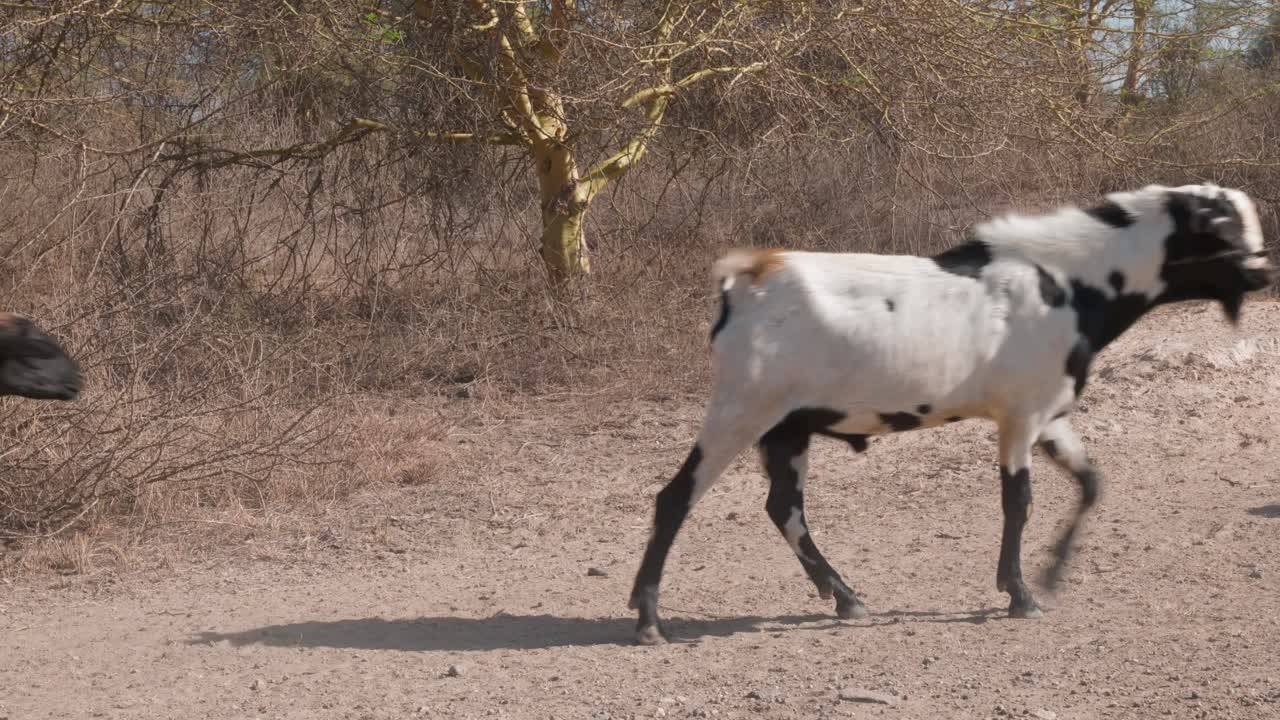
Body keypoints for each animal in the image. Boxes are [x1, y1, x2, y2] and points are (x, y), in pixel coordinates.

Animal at [626, 183, 1274, 645]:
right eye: (1222, 226)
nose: (1265, 270)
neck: (1068, 283)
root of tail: (753, 275)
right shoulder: (1019, 417)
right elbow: (1018, 501)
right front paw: (1019, 594)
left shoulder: (1047, 413)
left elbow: (1091, 483)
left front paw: (1052, 574)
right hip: (742, 408)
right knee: (676, 498)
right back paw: (649, 619)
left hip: (789, 426)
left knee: (783, 507)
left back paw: (845, 596)